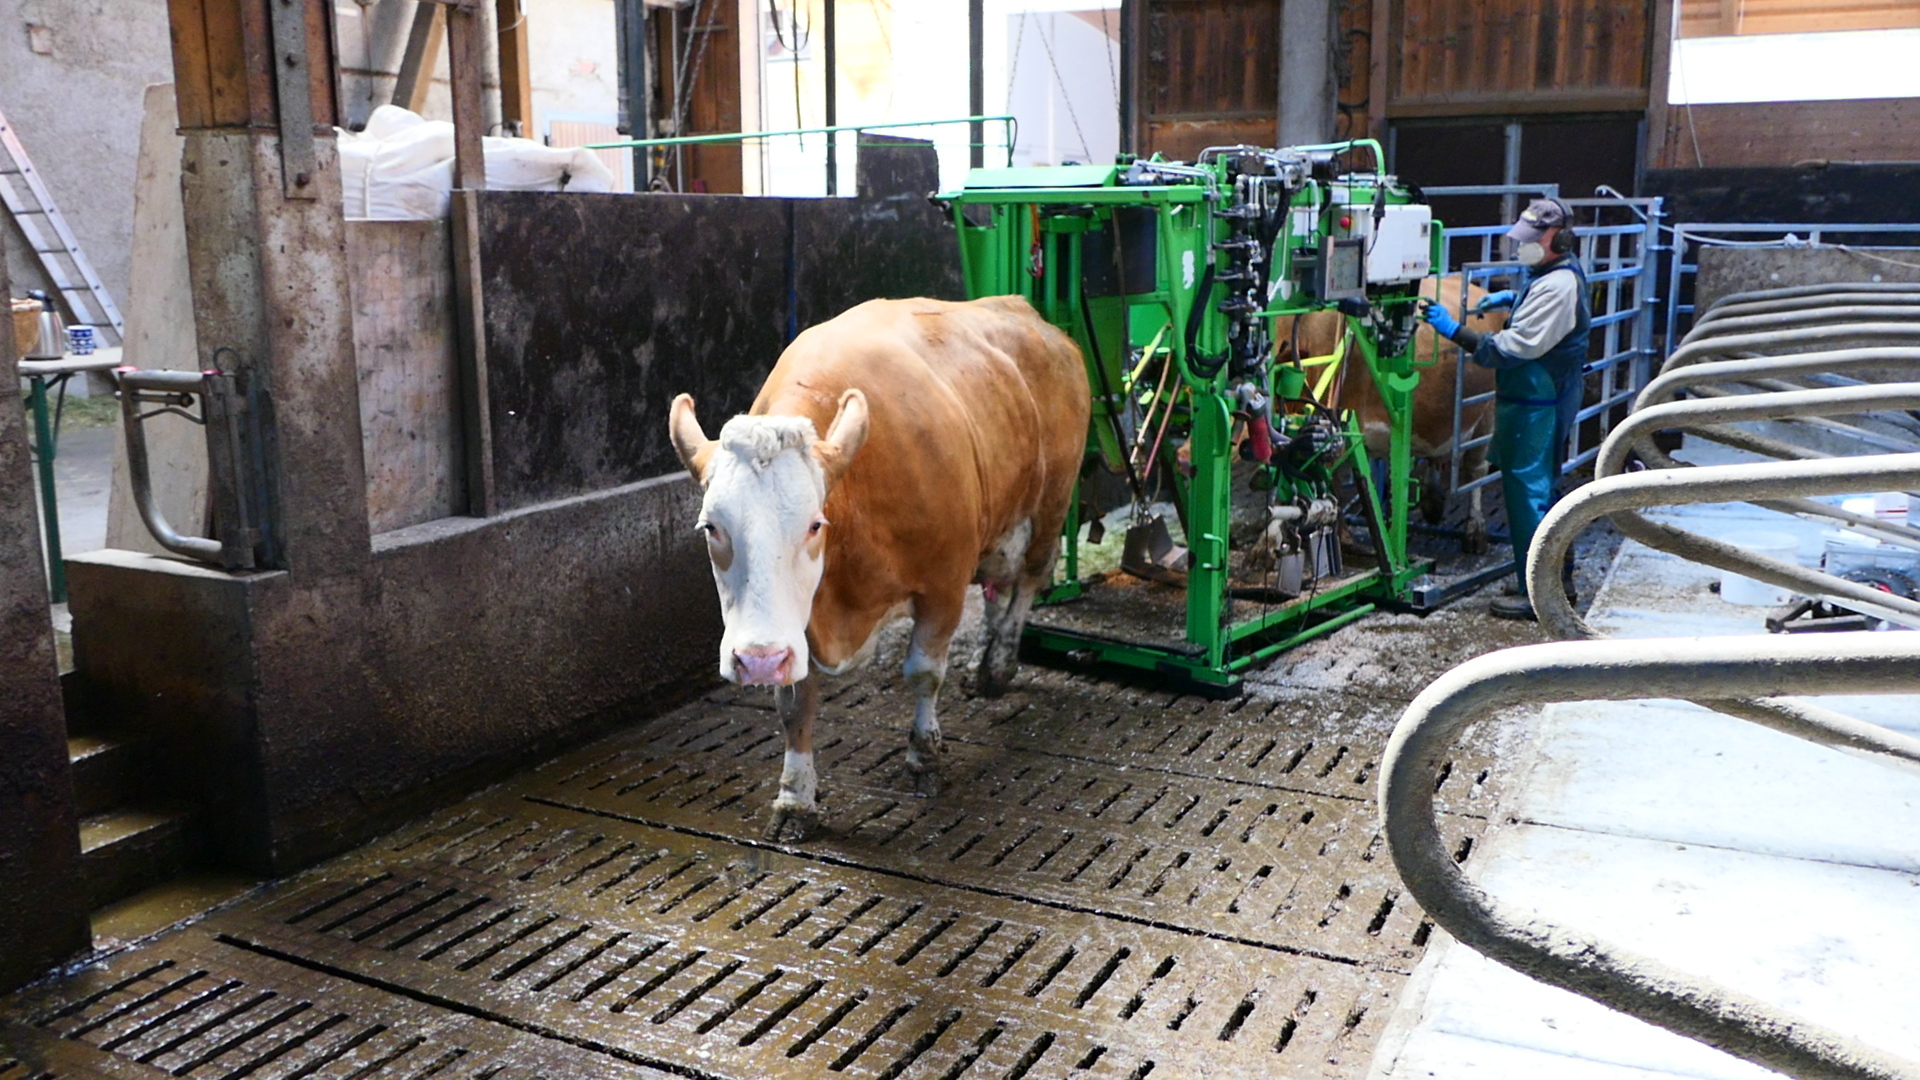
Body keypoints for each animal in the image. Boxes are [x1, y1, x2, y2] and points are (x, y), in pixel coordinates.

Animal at [668, 296, 1091, 841]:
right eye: (710, 527)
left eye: (815, 524)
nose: (758, 660)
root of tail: (1030, 315)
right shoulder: (797, 621)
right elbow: (794, 705)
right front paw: (795, 798)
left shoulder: (944, 583)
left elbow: (924, 674)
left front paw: (924, 758)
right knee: (1000, 586)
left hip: (1051, 504)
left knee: (1028, 582)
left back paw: (999, 665)